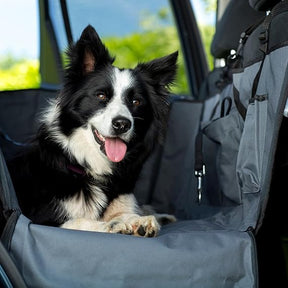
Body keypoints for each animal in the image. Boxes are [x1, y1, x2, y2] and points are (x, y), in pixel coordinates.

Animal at [7, 24, 177, 236]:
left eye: (136, 101)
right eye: (101, 96)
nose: (122, 124)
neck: (90, 168)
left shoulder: (122, 199)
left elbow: (127, 213)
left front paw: (139, 221)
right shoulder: (40, 219)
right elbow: (80, 222)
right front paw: (113, 225)